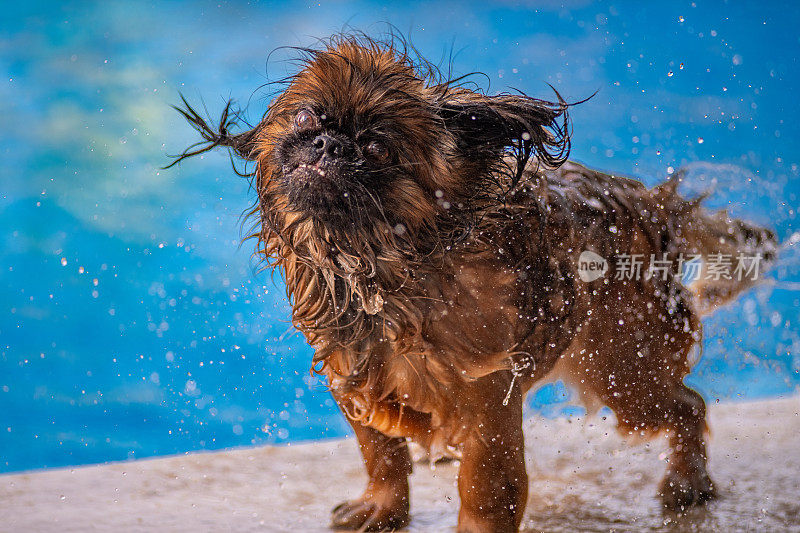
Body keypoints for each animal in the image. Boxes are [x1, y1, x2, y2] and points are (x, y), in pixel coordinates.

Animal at [172, 34, 780, 532]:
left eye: (378, 149)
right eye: (304, 120)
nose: (329, 143)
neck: (385, 270)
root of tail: (652, 204)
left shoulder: (487, 403)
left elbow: (487, 488)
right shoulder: (355, 380)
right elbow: (382, 453)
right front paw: (382, 506)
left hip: (625, 373)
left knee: (688, 405)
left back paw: (686, 483)